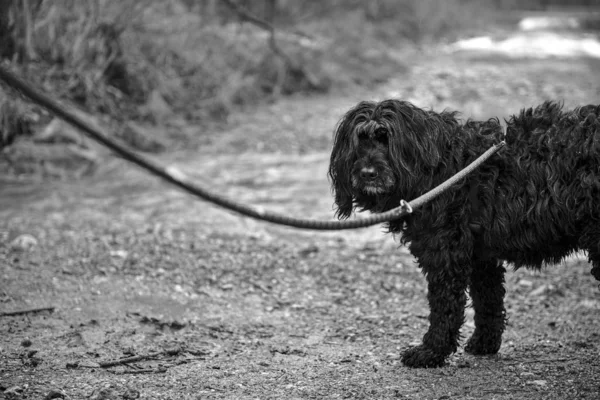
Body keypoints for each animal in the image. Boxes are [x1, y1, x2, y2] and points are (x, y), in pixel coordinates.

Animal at [328, 100, 600, 368]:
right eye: (359, 140)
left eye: (386, 138)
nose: (367, 173)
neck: (439, 168)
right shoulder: (482, 257)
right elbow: (488, 301)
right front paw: (484, 343)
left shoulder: (445, 255)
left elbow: (445, 307)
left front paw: (430, 352)